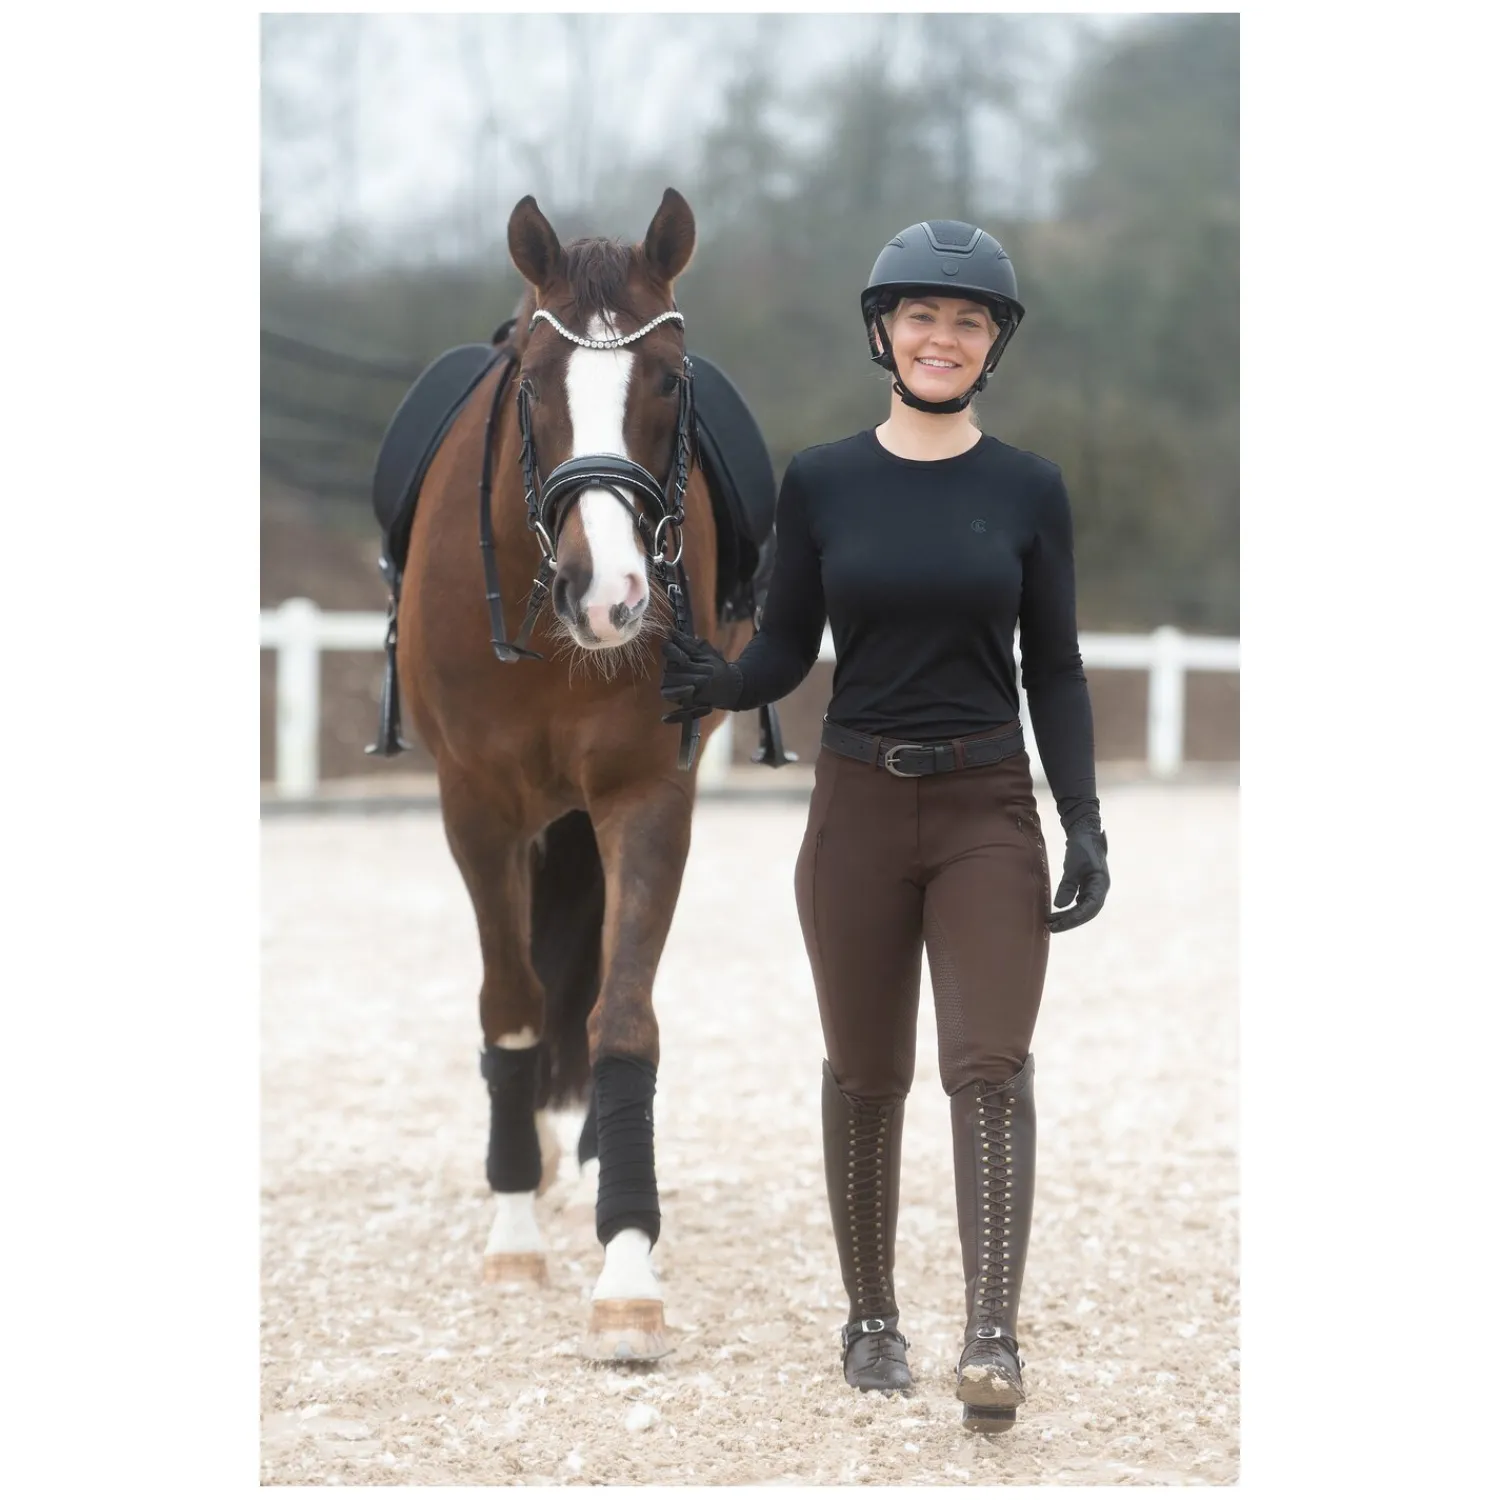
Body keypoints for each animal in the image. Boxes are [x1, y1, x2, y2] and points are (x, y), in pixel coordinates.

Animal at [394, 189, 757, 1360]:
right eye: (534, 386)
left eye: (671, 380)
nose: (613, 598)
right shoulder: (476, 809)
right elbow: (511, 1006)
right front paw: (514, 1225)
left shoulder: (647, 796)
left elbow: (621, 1017)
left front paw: (627, 1265)